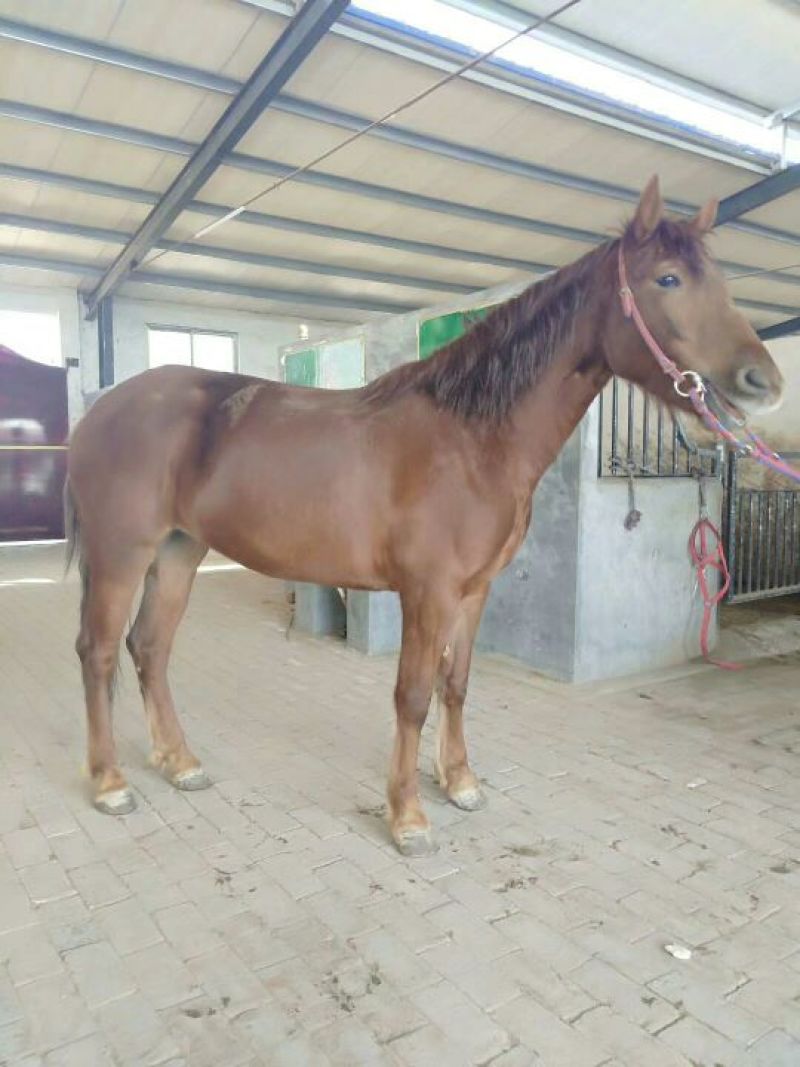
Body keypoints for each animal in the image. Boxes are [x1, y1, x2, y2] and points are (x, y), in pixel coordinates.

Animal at [66, 176, 784, 855]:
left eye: (720, 279)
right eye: (667, 278)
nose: (765, 383)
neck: (470, 437)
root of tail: (103, 408)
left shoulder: (473, 590)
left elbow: (456, 683)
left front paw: (460, 782)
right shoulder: (426, 591)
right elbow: (411, 696)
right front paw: (408, 816)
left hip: (178, 551)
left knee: (149, 648)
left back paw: (178, 761)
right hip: (122, 554)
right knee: (97, 652)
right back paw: (110, 783)